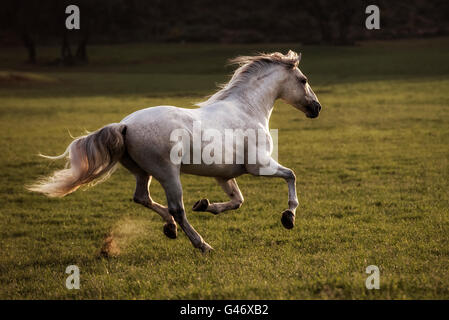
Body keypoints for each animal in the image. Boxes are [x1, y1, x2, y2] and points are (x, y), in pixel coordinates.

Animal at [28, 50, 320, 252]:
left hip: (142, 172)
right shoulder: (260, 166)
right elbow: (291, 175)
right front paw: (288, 217)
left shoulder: (224, 175)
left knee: (142, 198)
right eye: (303, 79)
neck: (247, 109)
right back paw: (202, 245)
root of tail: (124, 125)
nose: (317, 108)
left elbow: (237, 201)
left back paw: (170, 228)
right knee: (177, 208)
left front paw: (205, 205)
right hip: (168, 173)